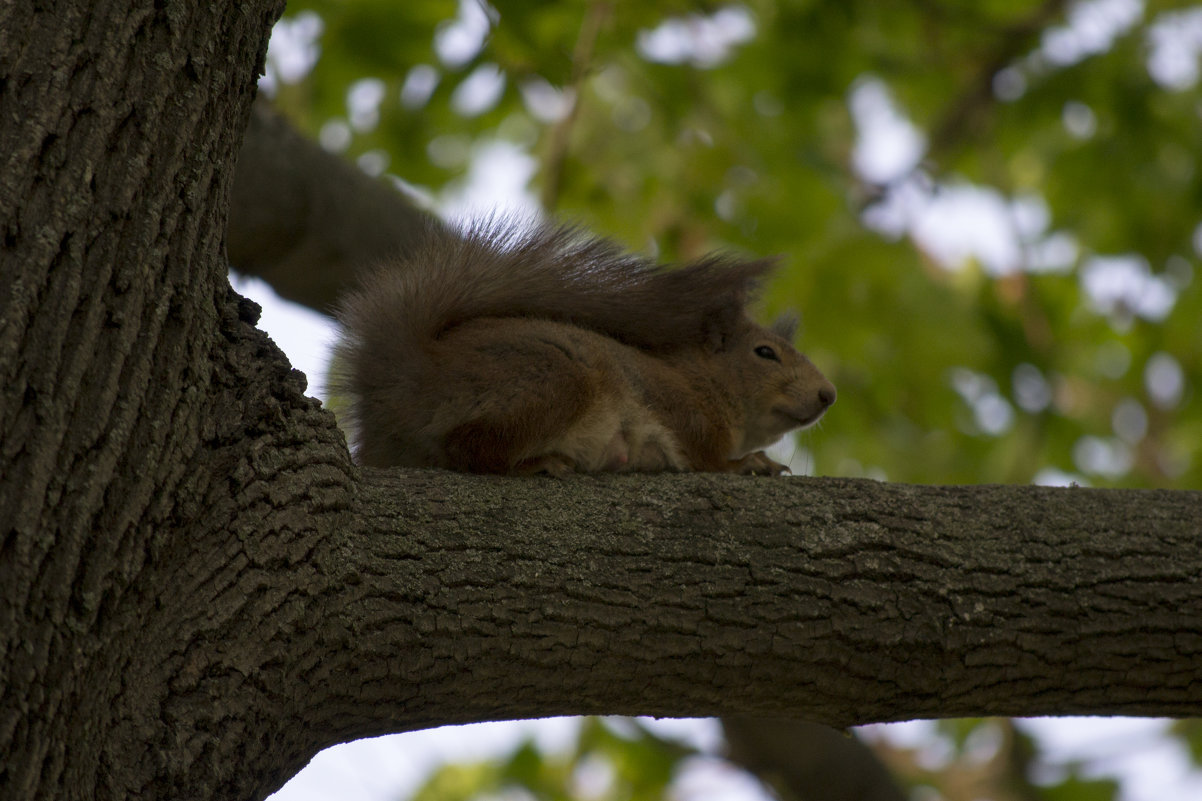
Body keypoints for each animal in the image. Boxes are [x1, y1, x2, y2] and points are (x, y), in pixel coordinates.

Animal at [329, 215, 836, 471]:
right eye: (765, 353)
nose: (828, 395)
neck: (705, 381)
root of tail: (407, 378)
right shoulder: (683, 412)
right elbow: (704, 459)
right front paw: (747, 465)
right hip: (553, 380)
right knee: (464, 448)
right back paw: (533, 464)